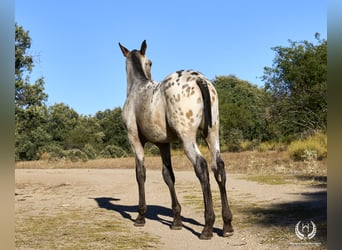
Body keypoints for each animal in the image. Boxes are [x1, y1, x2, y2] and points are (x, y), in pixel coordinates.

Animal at [119, 40, 234, 239]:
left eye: (150, 63)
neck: (137, 88)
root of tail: (199, 79)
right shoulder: (163, 144)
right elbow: (168, 175)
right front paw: (176, 220)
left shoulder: (134, 139)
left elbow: (140, 173)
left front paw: (140, 216)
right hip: (212, 134)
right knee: (218, 167)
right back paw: (227, 225)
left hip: (187, 138)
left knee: (202, 167)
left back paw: (208, 226)